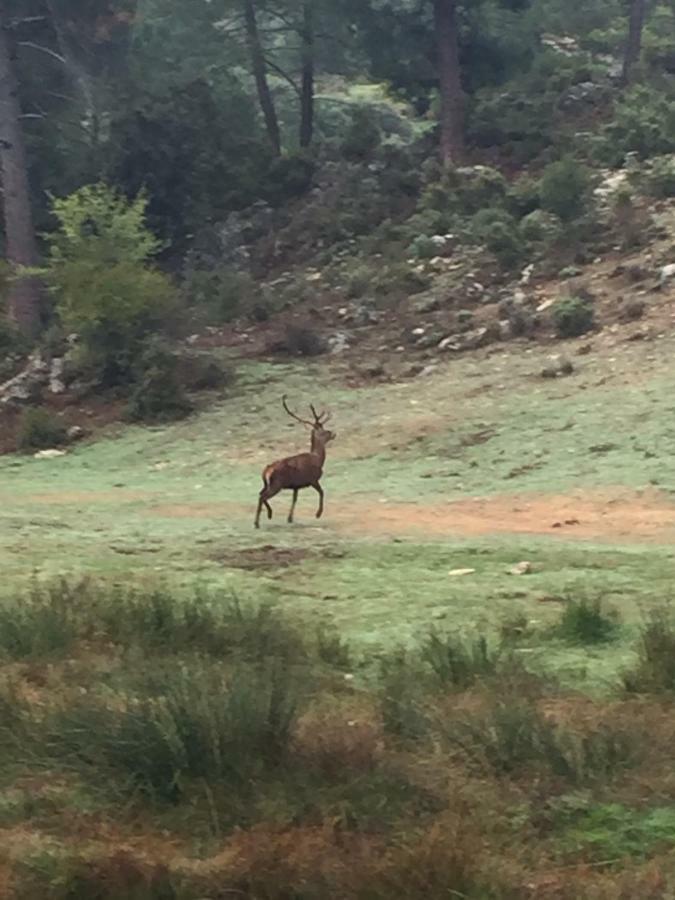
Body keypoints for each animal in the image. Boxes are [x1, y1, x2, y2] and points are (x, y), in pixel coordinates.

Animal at [255, 394, 336, 528]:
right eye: (323, 431)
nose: (333, 433)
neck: (319, 459)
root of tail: (266, 470)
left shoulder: (296, 485)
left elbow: (294, 499)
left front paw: (290, 518)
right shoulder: (313, 479)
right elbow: (322, 492)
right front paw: (318, 514)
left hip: (267, 484)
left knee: (260, 493)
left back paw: (266, 516)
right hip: (277, 483)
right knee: (263, 496)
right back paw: (260, 520)